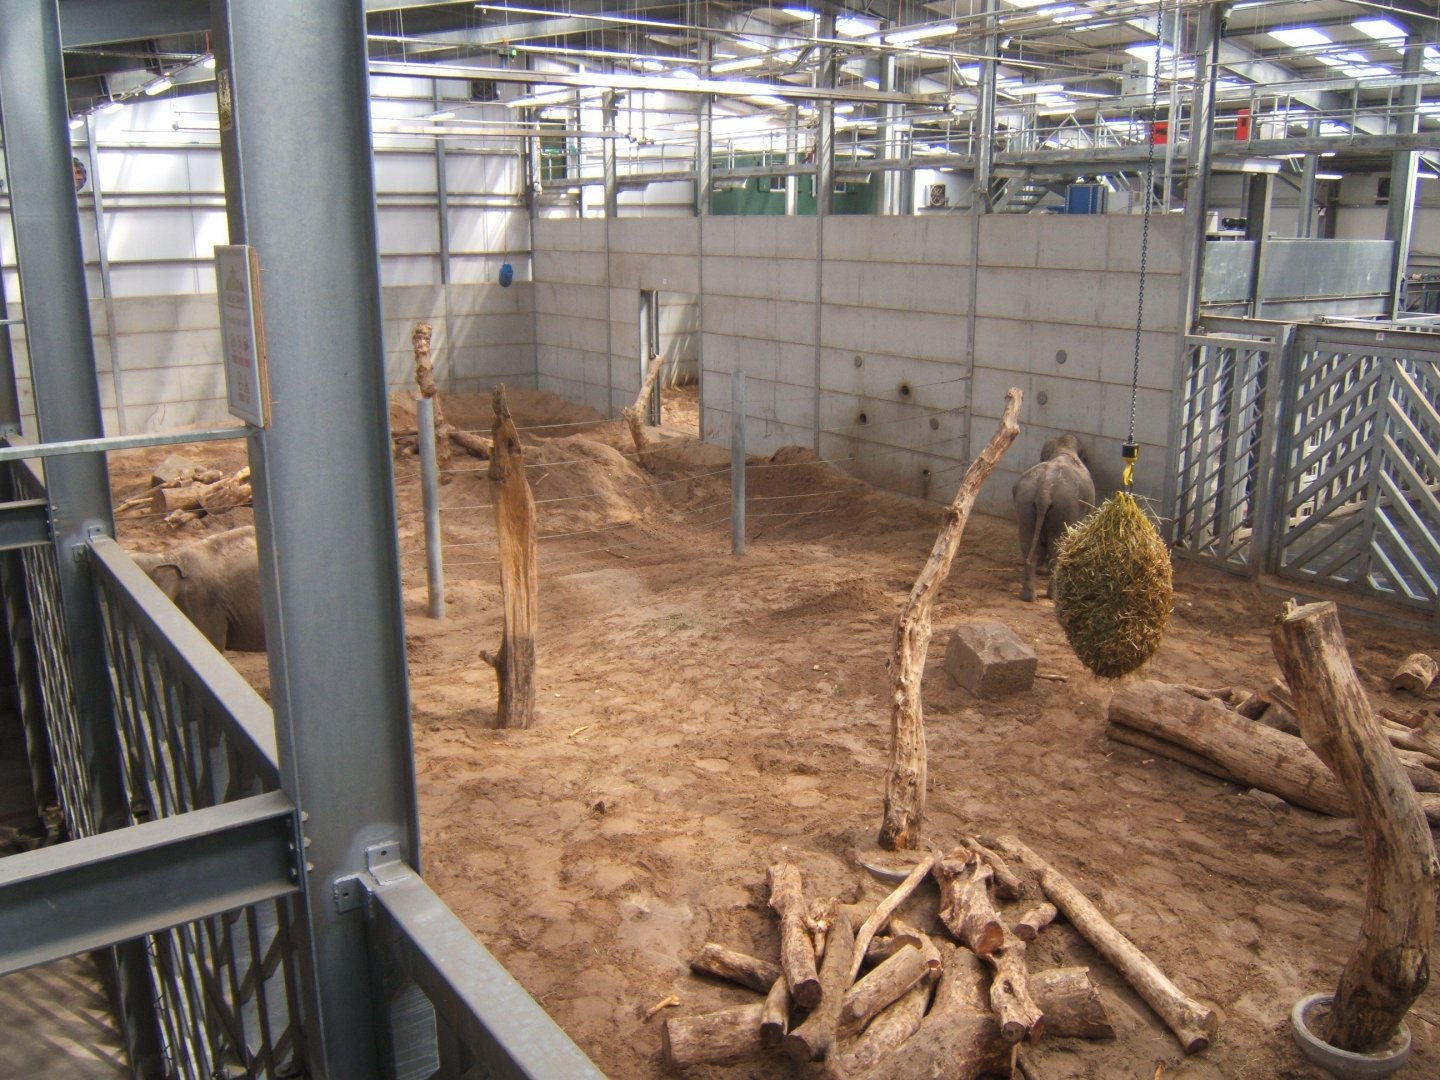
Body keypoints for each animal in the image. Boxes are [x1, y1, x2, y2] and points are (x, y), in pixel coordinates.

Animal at [1012, 434, 1096, 603]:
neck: (1063, 449)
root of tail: (1045, 491)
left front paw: (1041, 571)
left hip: (1025, 505)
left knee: (1028, 545)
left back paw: (1027, 597)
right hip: (1065, 508)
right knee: (1057, 549)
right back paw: (1053, 595)